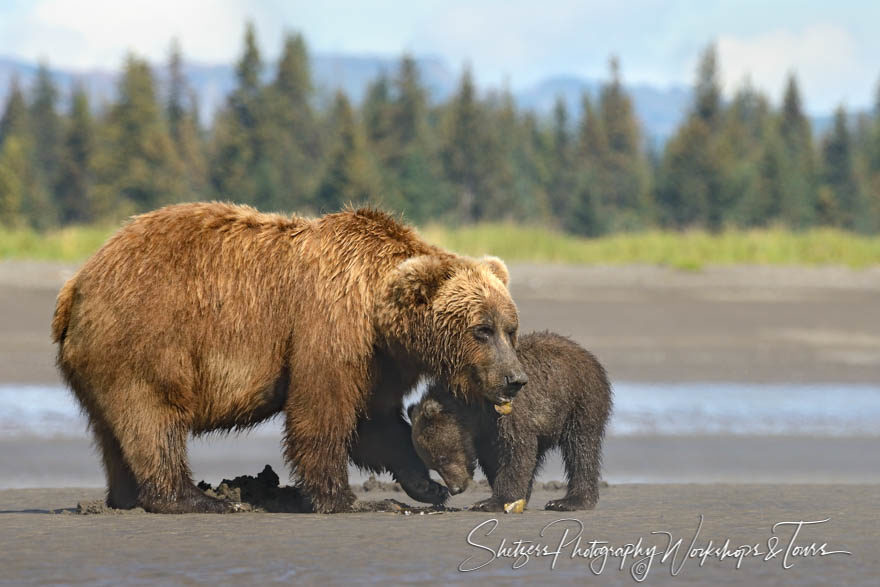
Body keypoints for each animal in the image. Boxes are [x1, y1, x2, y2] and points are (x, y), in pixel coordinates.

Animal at [51, 203, 524, 516]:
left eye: (510, 327)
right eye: (482, 329)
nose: (515, 379)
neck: (377, 311)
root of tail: (77, 282)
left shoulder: (379, 362)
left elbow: (377, 424)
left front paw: (429, 486)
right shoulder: (330, 327)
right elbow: (322, 411)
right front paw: (344, 498)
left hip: (101, 360)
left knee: (113, 429)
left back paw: (125, 496)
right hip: (147, 336)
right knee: (153, 417)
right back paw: (196, 499)